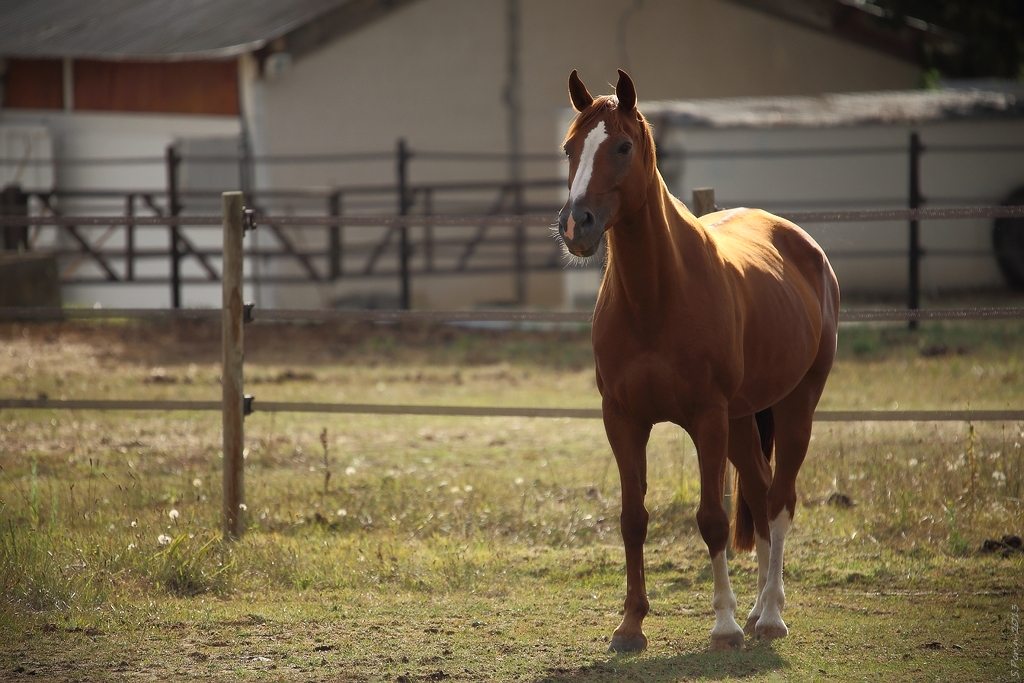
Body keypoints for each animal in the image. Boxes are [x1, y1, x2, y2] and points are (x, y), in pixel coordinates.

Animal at [561, 72, 839, 655]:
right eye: (570, 149)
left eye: (622, 147)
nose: (576, 225)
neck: (655, 297)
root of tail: (803, 245)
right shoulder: (623, 419)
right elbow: (633, 519)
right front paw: (630, 625)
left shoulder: (707, 418)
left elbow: (713, 519)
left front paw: (724, 625)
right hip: (742, 419)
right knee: (758, 489)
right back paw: (759, 611)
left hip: (795, 405)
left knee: (779, 501)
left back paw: (769, 616)